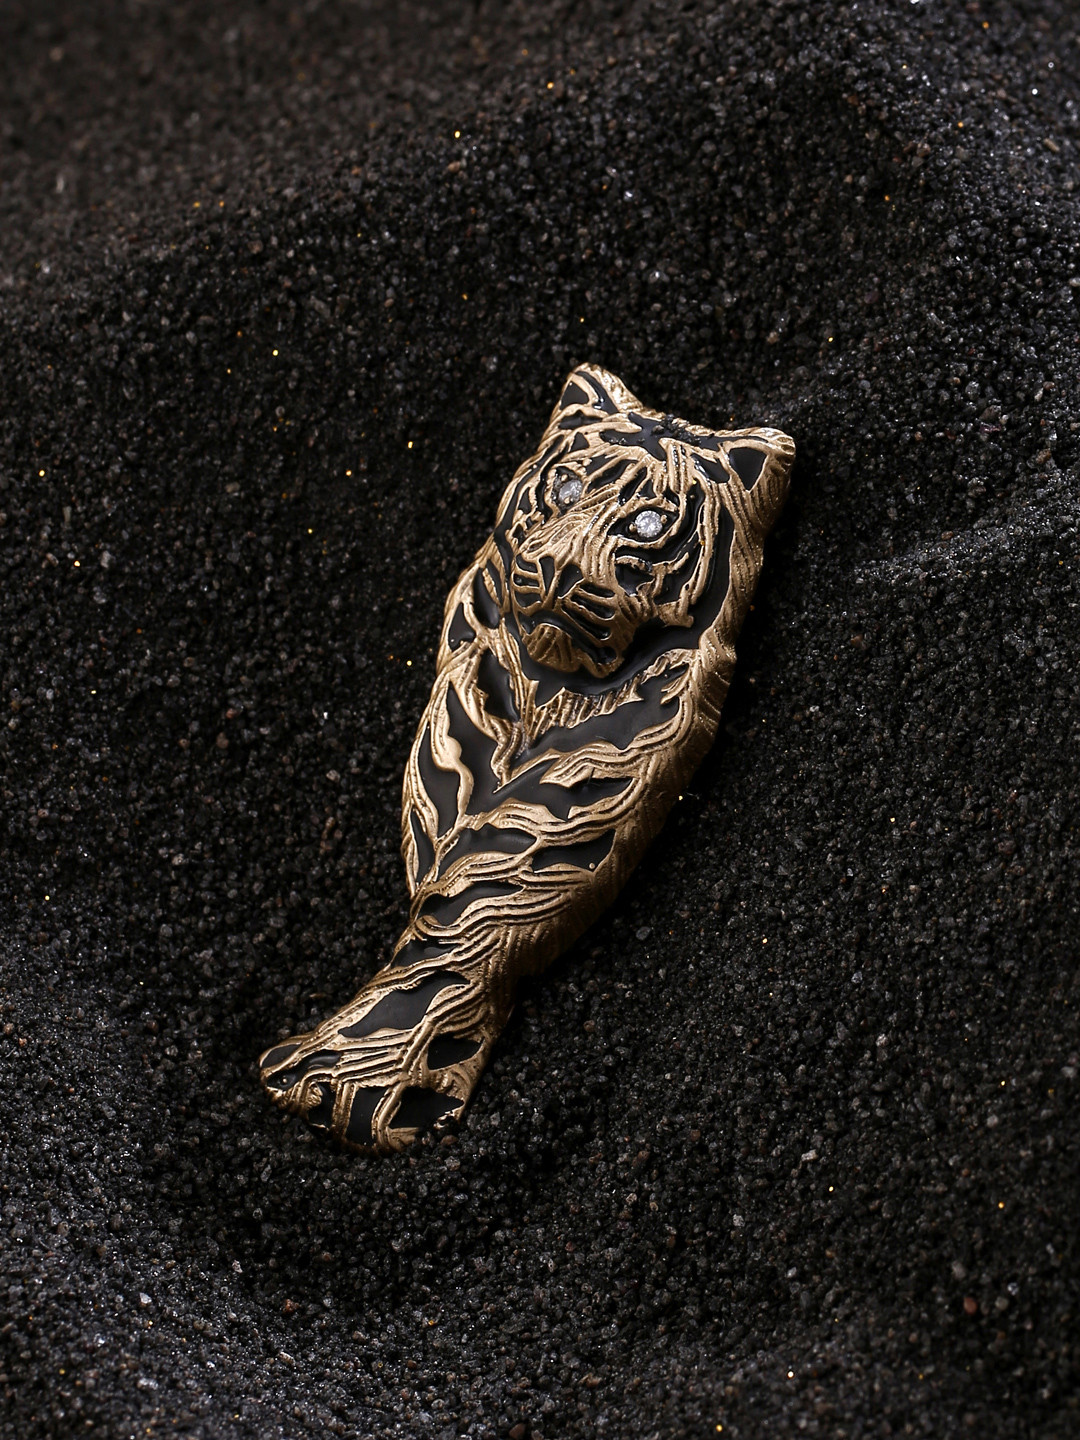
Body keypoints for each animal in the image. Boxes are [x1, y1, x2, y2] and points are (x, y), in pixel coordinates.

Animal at [260, 363, 795, 1154]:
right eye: (566, 488)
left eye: (646, 526)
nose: (561, 567)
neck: (550, 689)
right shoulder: (457, 742)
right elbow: (443, 904)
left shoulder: (593, 784)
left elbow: (461, 927)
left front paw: (358, 1092)